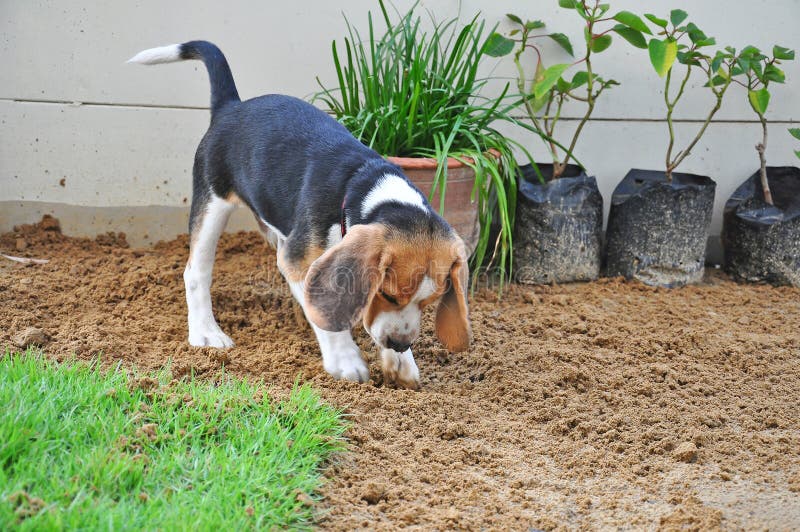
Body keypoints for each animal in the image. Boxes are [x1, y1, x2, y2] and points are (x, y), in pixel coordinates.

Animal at [128, 40, 472, 386]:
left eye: (429, 302)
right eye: (387, 295)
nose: (399, 344)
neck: (364, 187)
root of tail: (231, 106)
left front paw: (400, 363)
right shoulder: (299, 261)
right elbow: (329, 318)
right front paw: (346, 360)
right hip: (213, 200)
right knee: (196, 271)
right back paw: (206, 333)